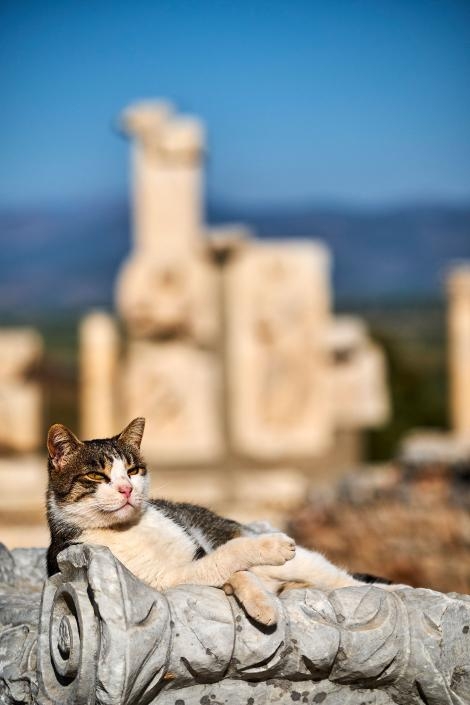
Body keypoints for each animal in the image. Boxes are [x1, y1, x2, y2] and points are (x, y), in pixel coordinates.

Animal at [46, 416, 392, 624]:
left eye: (133, 470)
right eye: (96, 475)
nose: (127, 489)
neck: (129, 529)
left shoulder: (197, 552)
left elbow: (237, 569)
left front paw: (261, 601)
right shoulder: (173, 580)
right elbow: (228, 560)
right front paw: (268, 568)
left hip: (305, 562)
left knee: (348, 581)